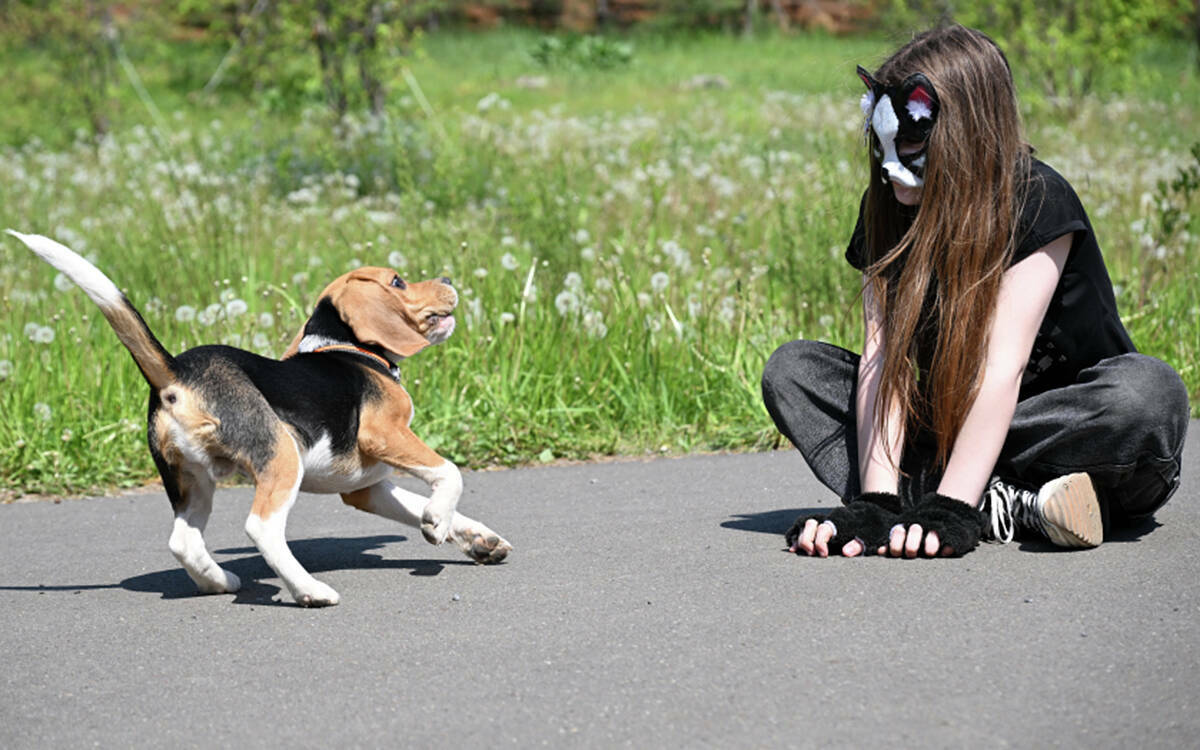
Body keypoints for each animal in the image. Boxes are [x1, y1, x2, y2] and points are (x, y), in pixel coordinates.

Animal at [8, 231, 511, 604]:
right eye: (399, 282)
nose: (447, 276)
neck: (346, 347)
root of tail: (177, 372)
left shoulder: (365, 487)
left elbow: (421, 503)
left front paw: (477, 538)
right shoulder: (385, 434)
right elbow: (449, 473)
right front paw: (438, 522)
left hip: (190, 479)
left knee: (182, 540)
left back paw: (218, 581)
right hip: (281, 455)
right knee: (262, 528)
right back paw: (309, 590)